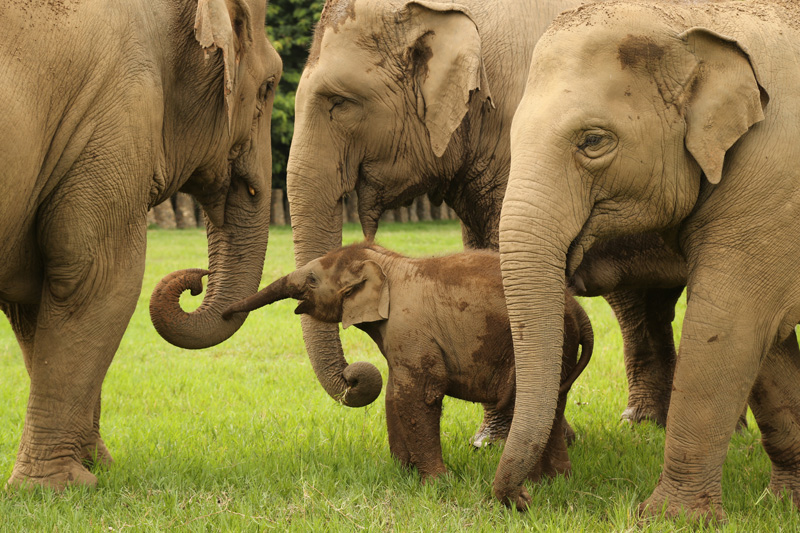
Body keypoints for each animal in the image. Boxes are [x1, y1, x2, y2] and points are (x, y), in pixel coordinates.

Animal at [0, 0, 282, 488]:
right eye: (269, 86)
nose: (197, 279)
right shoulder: (115, 115)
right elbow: (96, 277)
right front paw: (58, 487)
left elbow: (36, 301)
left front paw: (94, 468)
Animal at [222, 243, 592, 480]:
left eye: (312, 280)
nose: (225, 312)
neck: (386, 262)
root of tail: (577, 308)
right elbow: (395, 393)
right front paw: (404, 474)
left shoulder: (411, 327)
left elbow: (421, 393)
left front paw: (437, 483)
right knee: (554, 403)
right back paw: (555, 481)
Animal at [290, 0, 692, 444]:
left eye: (340, 102)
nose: (356, 376)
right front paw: (492, 440)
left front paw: (506, 441)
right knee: (642, 304)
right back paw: (643, 423)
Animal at [494, 0, 800, 520]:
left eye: (593, 141)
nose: (524, 499)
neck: (688, 20)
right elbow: (770, 342)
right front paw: (784, 505)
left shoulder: (773, 179)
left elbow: (730, 323)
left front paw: (671, 519)